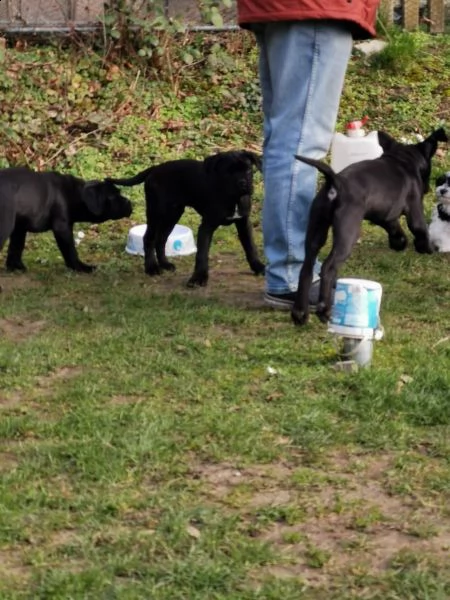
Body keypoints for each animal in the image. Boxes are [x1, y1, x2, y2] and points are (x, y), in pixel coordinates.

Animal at [0, 168, 133, 274]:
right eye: (113, 197)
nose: (129, 202)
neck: (76, 194)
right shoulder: (62, 227)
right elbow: (71, 250)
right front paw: (80, 267)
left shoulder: (19, 229)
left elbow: (16, 248)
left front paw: (16, 267)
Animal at [108, 149, 264, 286]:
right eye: (228, 172)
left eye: (248, 170)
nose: (242, 183)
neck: (234, 199)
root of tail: (155, 168)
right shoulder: (206, 226)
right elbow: (202, 254)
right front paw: (198, 278)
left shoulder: (244, 223)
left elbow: (250, 247)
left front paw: (258, 267)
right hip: (156, 212)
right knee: (149, 238)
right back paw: (151, 268)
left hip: (172, 214)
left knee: (161, 239)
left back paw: (165, 264)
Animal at [292, 125, 446, 324]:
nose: (428, 188)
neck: (402, 160)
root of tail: (335, 181)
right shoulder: (415, 210)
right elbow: (421, 230)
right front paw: (426, 249)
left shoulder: (384, 214)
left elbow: (394, 228)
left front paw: (399, 243)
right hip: (347, 233)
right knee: (328, 268)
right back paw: (324, 310)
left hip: (316, 230)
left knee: (306, 268)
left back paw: (300, 313)